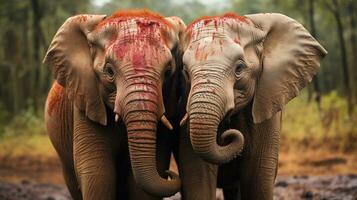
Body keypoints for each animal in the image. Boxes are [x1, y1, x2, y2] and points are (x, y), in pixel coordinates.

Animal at [43, 9, 185, 200]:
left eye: (168, 71)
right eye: (109, 71)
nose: (170, 173)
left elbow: (142, 185)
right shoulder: (87, 98)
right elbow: (99, 174)